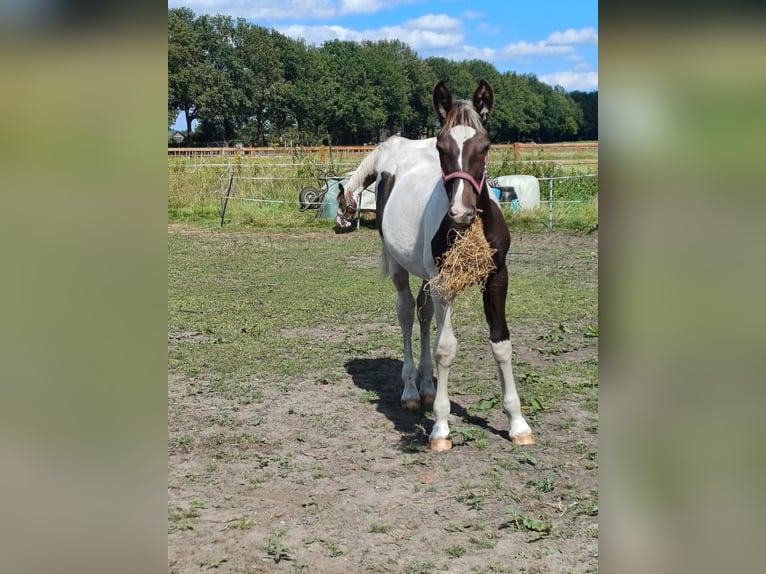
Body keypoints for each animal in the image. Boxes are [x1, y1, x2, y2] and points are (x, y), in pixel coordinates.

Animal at [340, 81, 536, 452]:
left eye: (485, 146)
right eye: (442, 147)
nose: (461, 212)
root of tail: (391, 147)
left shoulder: (497, 278)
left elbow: (501, 343)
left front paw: (518, 424)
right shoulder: (445, 283)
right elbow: (446, 349)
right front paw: (441, 429)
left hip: (427, 277)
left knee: (423, 312)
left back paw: (428, 388)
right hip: (402, 267)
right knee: (406, 313)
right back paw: (411, 391)